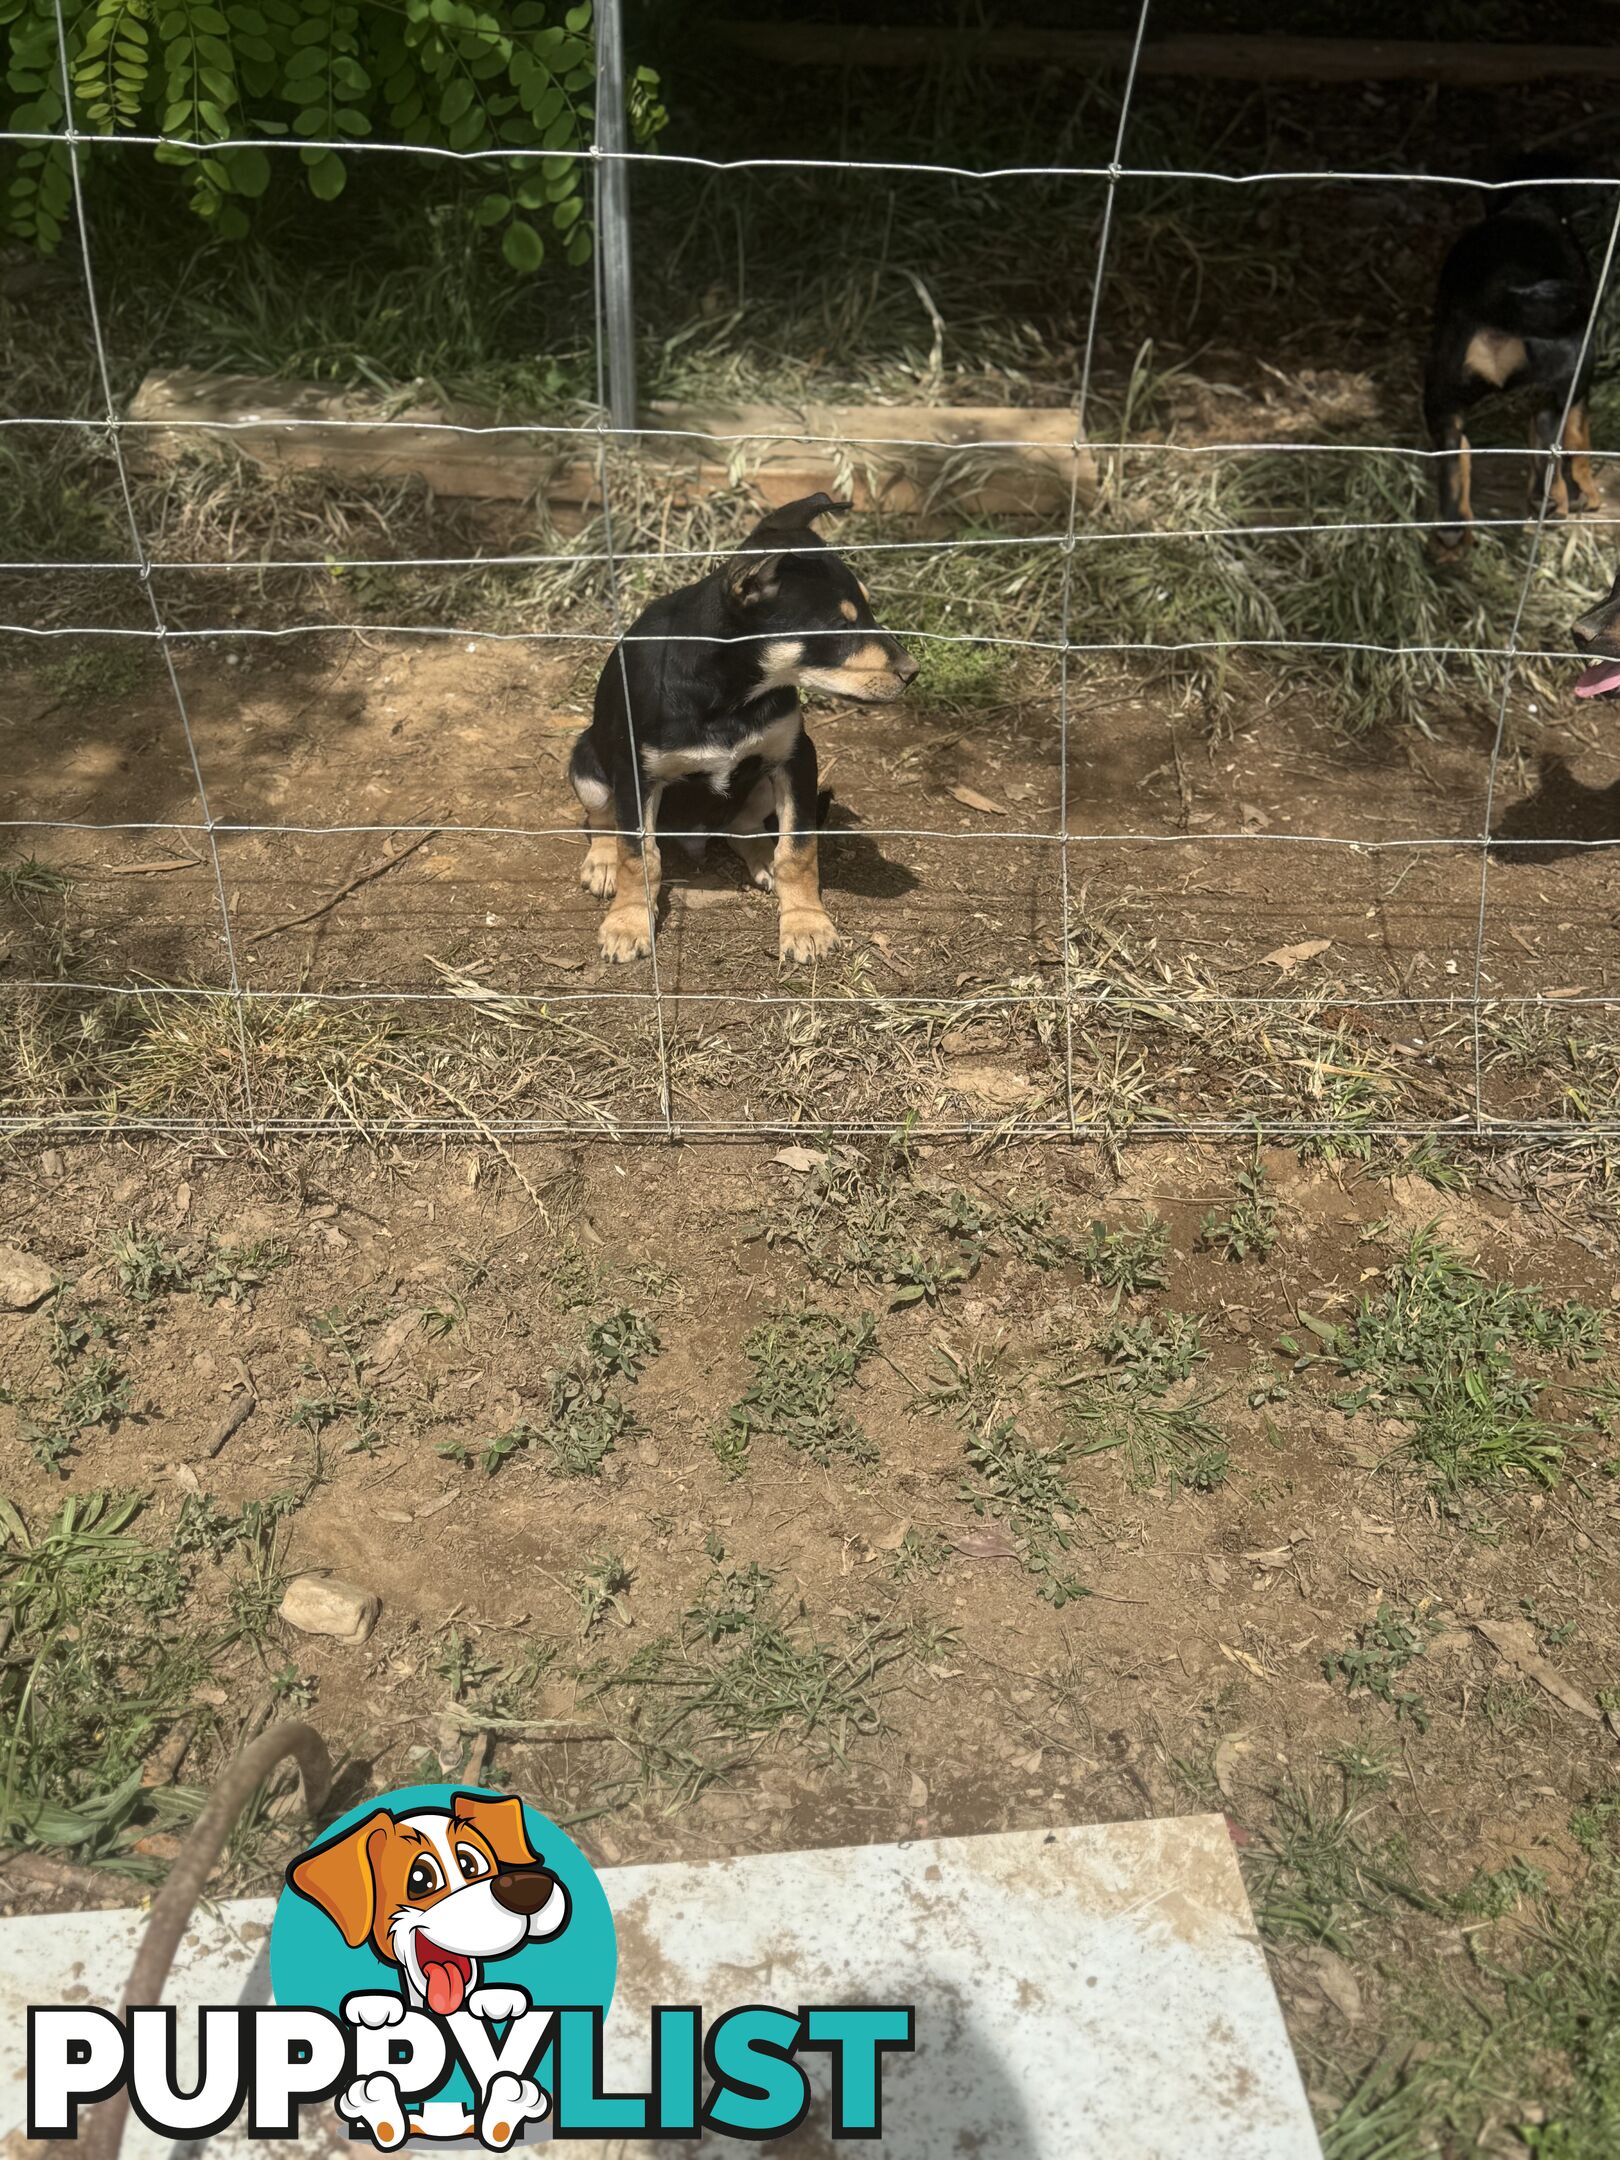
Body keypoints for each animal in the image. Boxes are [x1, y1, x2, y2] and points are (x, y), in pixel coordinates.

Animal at [570, 494, 920, 967]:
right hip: (586, 760)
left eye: (868, 609)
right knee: (603, 818)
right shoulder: (634, 774)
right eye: (838, 626)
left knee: (745, 827)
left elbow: (798, 848)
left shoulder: (796, 756)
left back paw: (764, 859)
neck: (729, 693)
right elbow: (638, 855)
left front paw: (806, 923)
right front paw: (627, 923)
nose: (912, 672)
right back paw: (602, 862)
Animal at [1425, 162, 1607, 565]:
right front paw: (1586, 491)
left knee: (1454, 452)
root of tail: (1497, 291)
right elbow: (1578, 432)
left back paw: (1451, 533)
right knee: (1550, 428)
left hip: (1443, 383)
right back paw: (1555, 499)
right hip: (1572, 363)